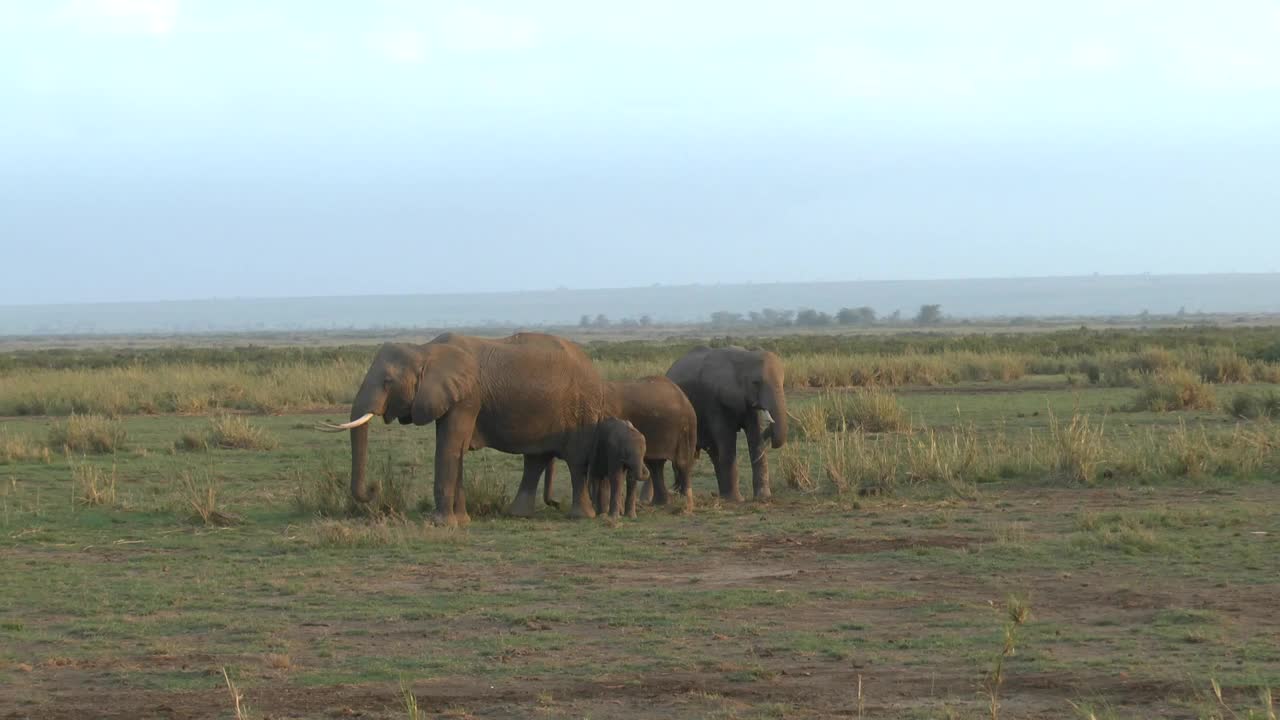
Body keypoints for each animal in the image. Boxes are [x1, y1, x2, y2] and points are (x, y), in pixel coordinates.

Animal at [313, 330, 604, 520]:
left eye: (387, 382)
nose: (375, 488)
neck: (426, 350)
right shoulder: (449, 398)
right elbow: (456, 448)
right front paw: (461, 520)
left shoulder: (466, 397)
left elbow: (449, 447)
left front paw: (441, 523)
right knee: (535, 460)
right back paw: (518, 515)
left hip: (581, 409)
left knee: (575, 460)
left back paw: (582, 517)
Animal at [540, 376, 701, 509]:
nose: (557, 503)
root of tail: (682, 394)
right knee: (655, 465)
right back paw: (659, 504)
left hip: (686, 428)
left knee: (682, 463)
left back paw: (686, 506)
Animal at [665, 345, 783, 502]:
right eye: (755, 383)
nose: (769, 433)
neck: (743, 356)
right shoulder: (714, 400)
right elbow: (727, 439)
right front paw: (736, 501)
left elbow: (755, 434)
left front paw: (763, 498)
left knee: (713, 453)